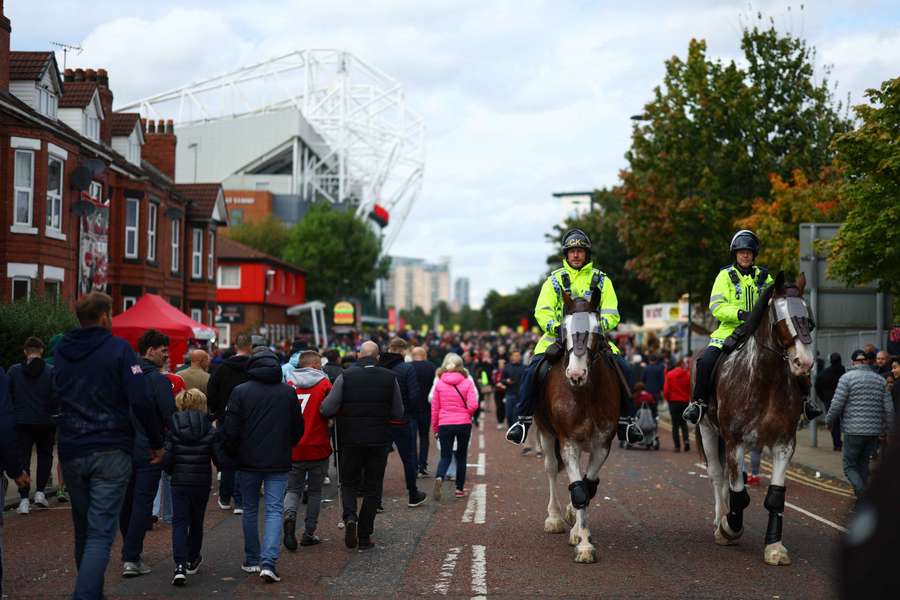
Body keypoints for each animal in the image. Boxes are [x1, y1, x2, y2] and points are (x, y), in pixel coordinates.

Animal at [532, 290, 624, 564]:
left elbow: (587, 487)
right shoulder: (568, 442)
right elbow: (579, 489)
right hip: (547, 433)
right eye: (564, 328)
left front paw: (580, 535)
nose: (575, 374)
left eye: (596, 329)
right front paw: (584, 544)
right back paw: (554, 518)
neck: (585, 395)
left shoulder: (602, 445)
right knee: (552, 468)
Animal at [696, 272, 816, 568]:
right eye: (781, 319)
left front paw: (774, 547)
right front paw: (730, 527)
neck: (767, 381)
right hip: (708, 430)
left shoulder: (784, 444)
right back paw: (720, 521)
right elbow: (739, 494)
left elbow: (774, 497)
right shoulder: (735, 441)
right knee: (718, 476)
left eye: (808, 319)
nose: (804, 362)